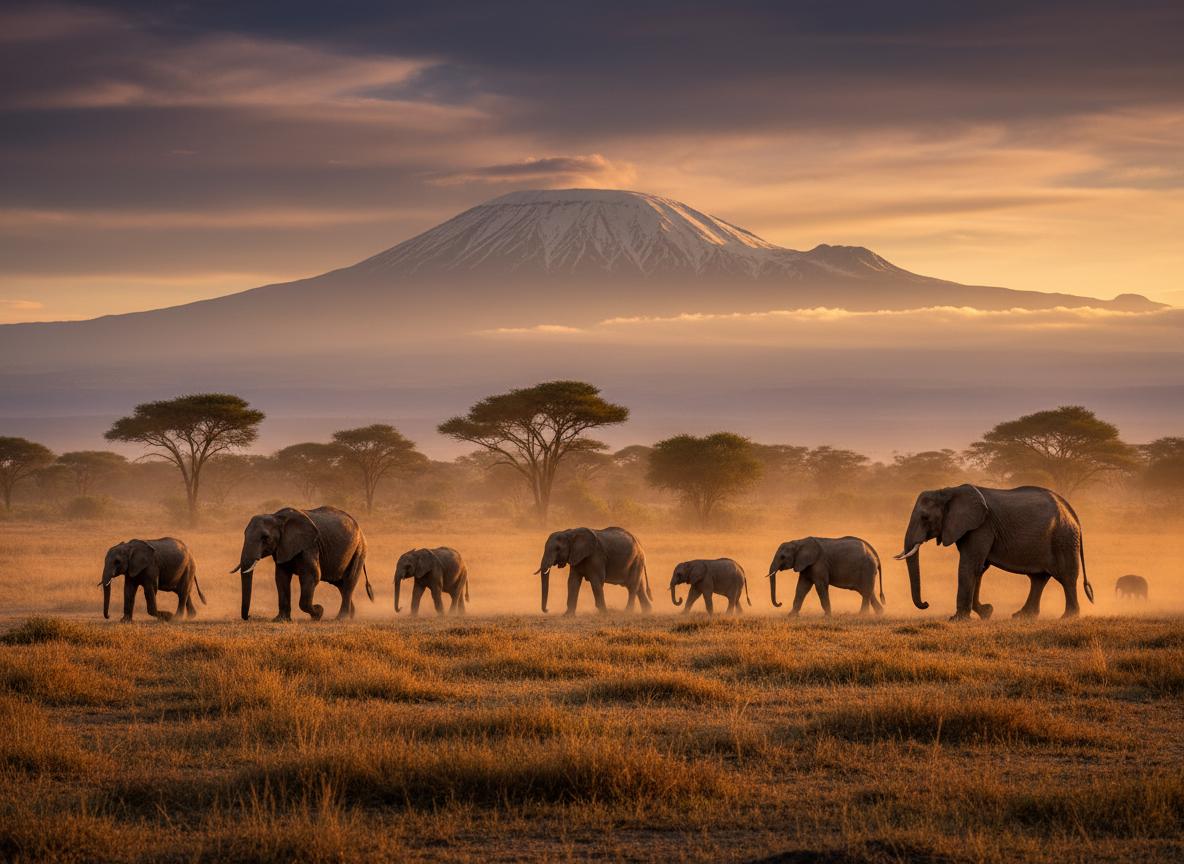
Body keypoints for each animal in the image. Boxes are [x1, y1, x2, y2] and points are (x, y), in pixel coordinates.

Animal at [233, 505, 373, 621]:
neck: (277, 517)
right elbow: (281, 578)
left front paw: (318, 612)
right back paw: (350, 616)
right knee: (340, 584)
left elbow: (312, 576)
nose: (250, 616)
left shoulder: (309, 546)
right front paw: (280, 620)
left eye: (265, 538)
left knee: (349, 582)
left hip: (359, 550)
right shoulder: (283, 547)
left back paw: (340, 619)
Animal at [895, 484, 1094, 620]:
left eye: (925, 518)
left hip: (1064, 538)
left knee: (1066, 577)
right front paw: (987, 612)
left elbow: (970, 566)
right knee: (1038, 578)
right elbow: (979, 568)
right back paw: (1022, 616)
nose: (926, 603)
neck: (948, 491)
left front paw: (957, 619)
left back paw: (1067, 617)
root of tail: (1073, 512)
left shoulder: (981, 527)